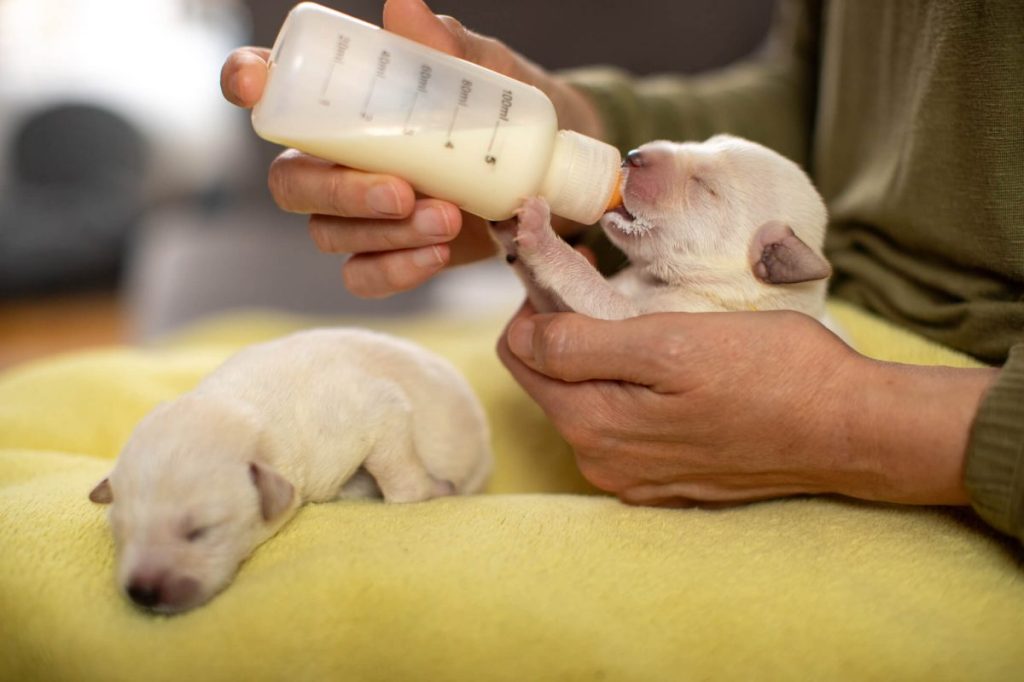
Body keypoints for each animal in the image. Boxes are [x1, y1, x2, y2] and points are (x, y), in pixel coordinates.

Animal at [89, 327, 491, 614]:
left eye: (199, 531)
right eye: (120, 532)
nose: (142, 593)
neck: (251, 411)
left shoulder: (370, 415)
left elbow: (399, 475)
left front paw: (428, 490)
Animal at [491, 135, 835, 321]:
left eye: (704, 188)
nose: (633, 156)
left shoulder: (658, 319)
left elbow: (590, 284)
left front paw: (540, 233)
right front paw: (509, 226)